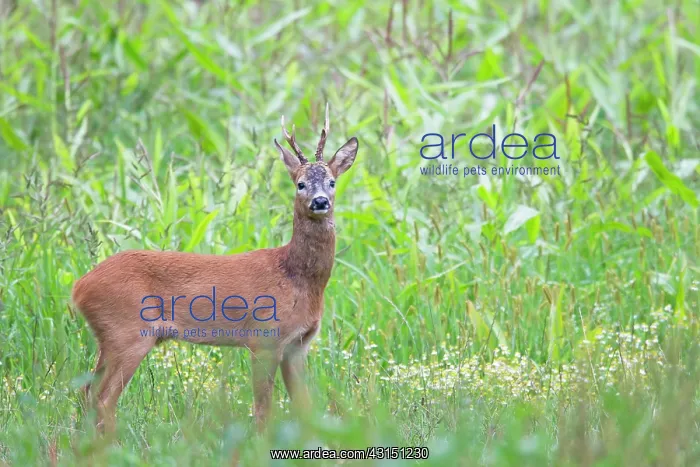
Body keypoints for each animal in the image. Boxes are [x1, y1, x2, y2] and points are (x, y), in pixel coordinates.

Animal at [71, 104, 359, 431]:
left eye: (332, 182)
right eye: (300, 184)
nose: (320, 201)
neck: (296, 277)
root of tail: (79, 287)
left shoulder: (298, 345)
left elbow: (305, 408)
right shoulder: (264, 337)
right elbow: (263, 410)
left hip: (109, 338)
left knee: (86, 390)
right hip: (128, 333)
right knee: (104, 397)